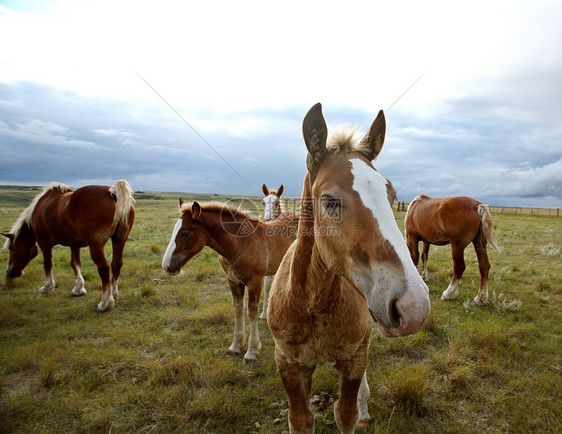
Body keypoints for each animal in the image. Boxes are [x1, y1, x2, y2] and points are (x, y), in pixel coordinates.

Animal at [1, 180, 136, 312]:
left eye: (11, 248)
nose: (9, 272)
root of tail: (112, 191)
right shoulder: (74, 244)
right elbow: (75, 263)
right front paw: (78, 288)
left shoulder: (44, 242)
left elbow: (47, 264)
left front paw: (47, 287)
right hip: (119, 240)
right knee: (116, 263)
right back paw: (114, 293)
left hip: (96, 245)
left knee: (104, 267)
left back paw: (106, 303)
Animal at [161, 200, 298, 362]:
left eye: (184, 233)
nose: (166, 265)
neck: (241, 244)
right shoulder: (233, 281)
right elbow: (238, 309)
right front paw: (235, 346)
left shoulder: (255, 281)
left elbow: (252, 312)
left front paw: (251, 351)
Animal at [266, 103, 428, 432]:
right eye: (329, 201)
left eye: (392, 196)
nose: (414, 305)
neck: (313, 304)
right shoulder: (289, 364)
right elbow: (301, 420)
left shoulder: (354, 359)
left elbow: (346, 413)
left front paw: (360, 412)